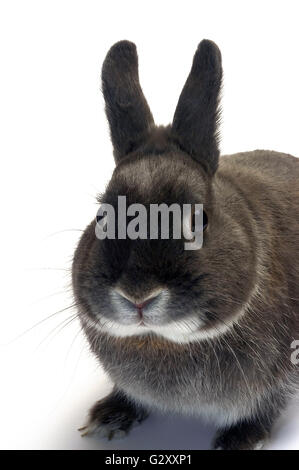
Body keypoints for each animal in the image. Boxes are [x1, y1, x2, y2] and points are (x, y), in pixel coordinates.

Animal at [72, 38, 299, 450]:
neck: (163, 340)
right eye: (102, 215)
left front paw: (238, 440)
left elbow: (267, 404)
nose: (138, 296)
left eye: (198, 220)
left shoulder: (280, 374)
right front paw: (109, 418)